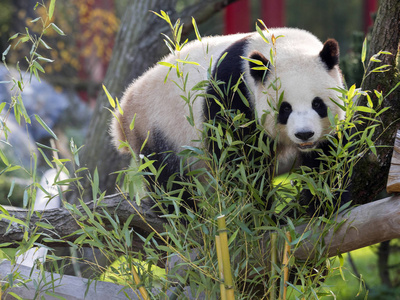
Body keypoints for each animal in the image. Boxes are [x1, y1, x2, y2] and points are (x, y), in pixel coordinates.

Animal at [110, 27, 350, 216]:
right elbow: (237, 160)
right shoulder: (232, 92)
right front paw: (258, 214)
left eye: (317, 104)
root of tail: (125, 107)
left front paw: (321, 202)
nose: (304, 134)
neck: (279, 45)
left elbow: (326, 159)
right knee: (168, 179)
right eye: (285, 108)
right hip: (159, 129)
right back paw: (186, 217)